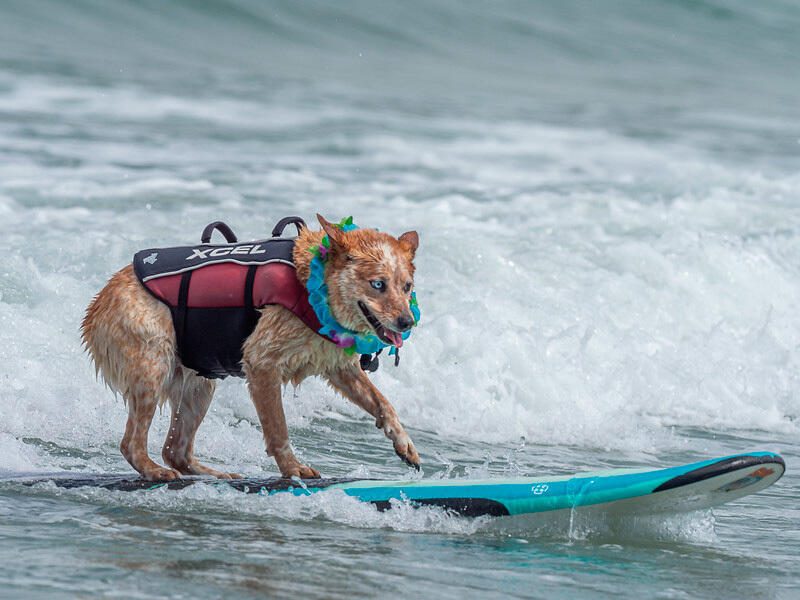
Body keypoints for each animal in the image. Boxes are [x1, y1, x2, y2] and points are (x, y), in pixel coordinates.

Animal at [80, 213, 418, 480]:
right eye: (378, 284)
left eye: (407, 286)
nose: (408, 322)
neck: (313, 283)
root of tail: (97, 303)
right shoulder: (262, 364)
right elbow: (278, 427)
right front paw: (293, 468)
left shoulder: (338, 367)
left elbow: (383, 402)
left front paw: (403, 442)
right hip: (153, 366)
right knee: (132, 443)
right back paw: (154, 470)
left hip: (199, 386)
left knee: (175, 450)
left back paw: (214, 474)